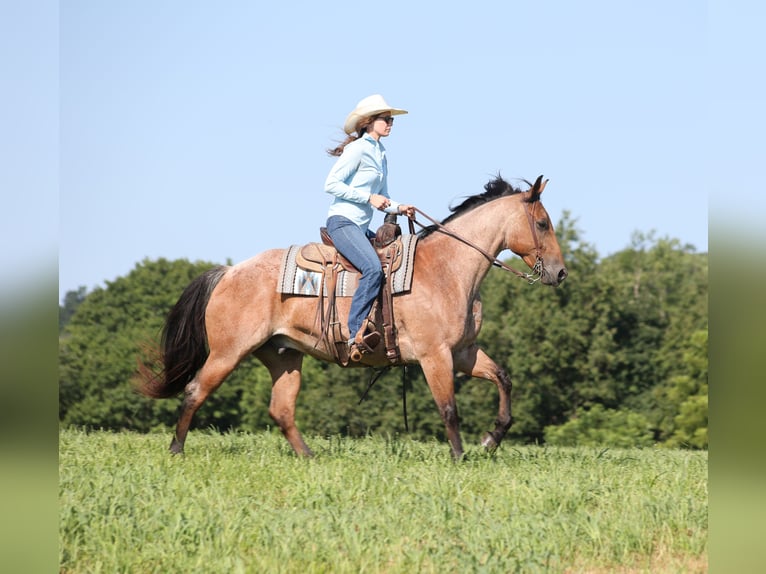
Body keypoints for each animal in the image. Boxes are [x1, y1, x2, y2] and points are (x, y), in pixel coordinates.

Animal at [139, 174, 567, 459]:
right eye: (542, 223)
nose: (560, 273)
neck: (448, 268)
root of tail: (228, 272)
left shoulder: (464, 352)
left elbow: (504, 379)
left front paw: (491, 439)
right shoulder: (435, 355)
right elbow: (449, 408)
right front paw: (460, 457)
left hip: (283, 356)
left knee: (281, 409)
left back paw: (310, 458)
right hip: (228, 352)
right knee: (195, 391)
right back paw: (176, 451)